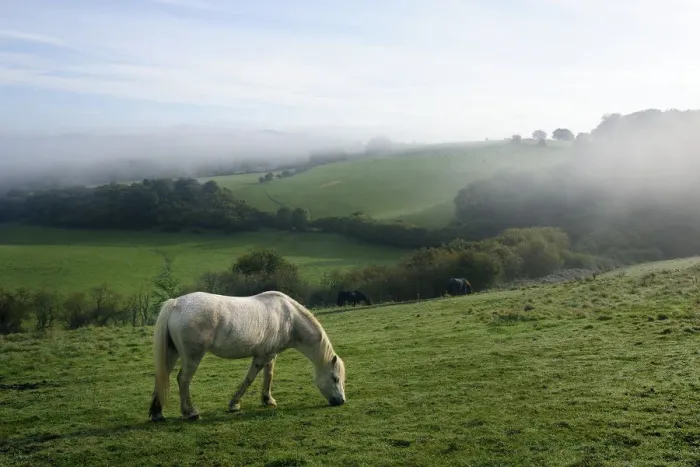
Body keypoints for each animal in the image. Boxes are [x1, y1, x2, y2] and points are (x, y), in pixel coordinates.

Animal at [148, 290, 346, 422]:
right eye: (335, 378)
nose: (341, 401)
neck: (289, 318)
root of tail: (176, 304)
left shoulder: (270, 354)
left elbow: (268, 376)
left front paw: (267, 400)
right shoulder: (262, 357)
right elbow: (250, 378)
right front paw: (234, 404)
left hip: (172, 353)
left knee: (162, 376)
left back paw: (157, 413)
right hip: (192, 356)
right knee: (183, 379)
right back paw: (190, 412)